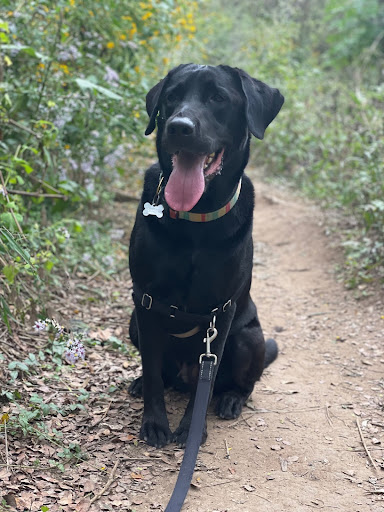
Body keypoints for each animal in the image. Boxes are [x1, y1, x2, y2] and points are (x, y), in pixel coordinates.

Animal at [128, 65, 282, 448]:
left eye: (218, 98)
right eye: (171, 97)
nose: (179, 127)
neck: (195, 219)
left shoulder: (222, 312)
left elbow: (206, 383)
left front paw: (190, 429)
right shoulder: (145, 302)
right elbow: (151, 372)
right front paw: (155, 423)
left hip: (248, 339)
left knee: (240, 384)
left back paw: (231, 400)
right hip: (134, 323)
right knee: (161, 374)